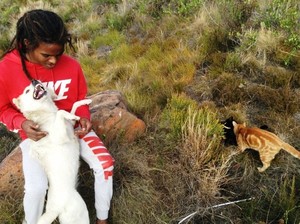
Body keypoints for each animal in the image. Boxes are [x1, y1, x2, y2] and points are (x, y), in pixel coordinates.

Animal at [13, 79, 90, 223]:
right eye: (26, 90)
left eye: (37, 81)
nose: (34, 80)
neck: (48, 115)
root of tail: (54, 210)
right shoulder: (60, 137)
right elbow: (62, 112)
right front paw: (72, 115)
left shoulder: (69, 126)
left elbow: (73, 106)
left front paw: (85, 103)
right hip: (79, 214)